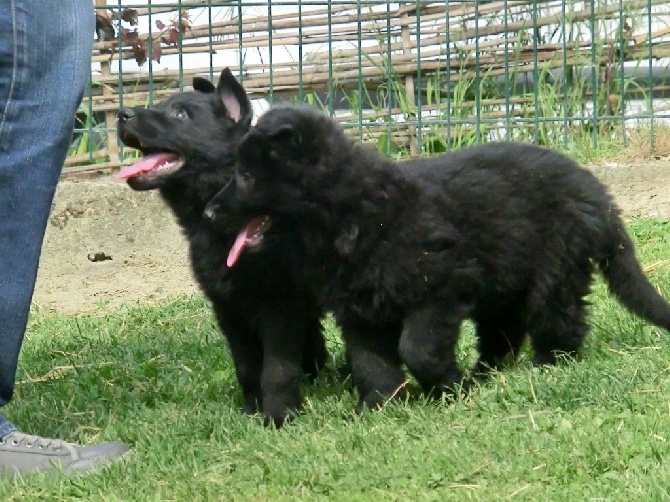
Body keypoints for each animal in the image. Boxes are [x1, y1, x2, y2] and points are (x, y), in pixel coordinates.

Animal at [116, 70, 330, 426]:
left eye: (180, 115)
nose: (122, 115)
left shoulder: (280, 307)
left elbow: (277, 369)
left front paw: (278, 416)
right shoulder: (228, 309)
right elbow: (247, 367)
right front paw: (251, 409)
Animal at [207, 105, 670, 412]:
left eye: (246, 177)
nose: (209, 212)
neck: (351, 212)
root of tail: (598, 193)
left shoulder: (439, 287)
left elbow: (417, 349)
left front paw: (449, 389)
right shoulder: (359, 307)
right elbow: (368, 360)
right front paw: (380, 406)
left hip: (553, 271)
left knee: (558, 321)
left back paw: (547, 366)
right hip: (504, 280)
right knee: (505, 330)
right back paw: (488, 372)